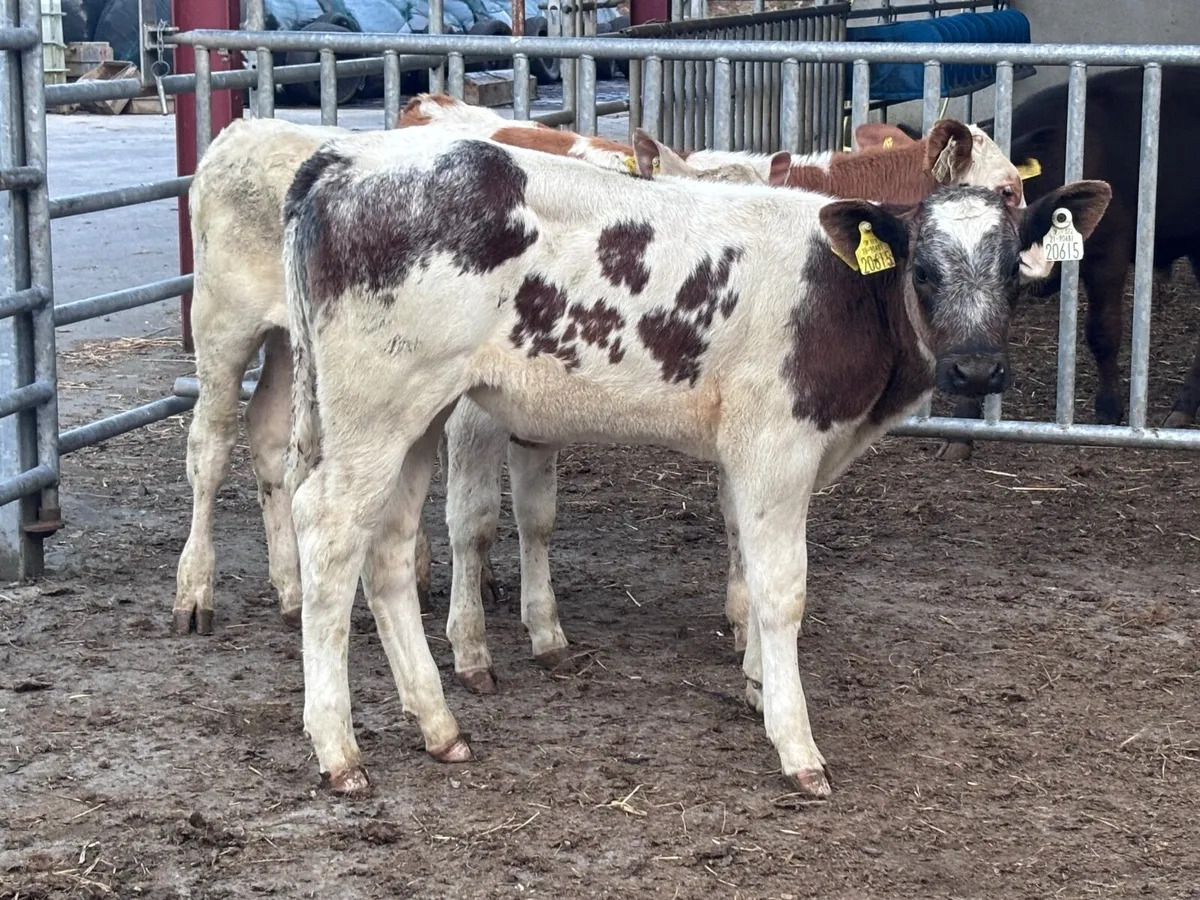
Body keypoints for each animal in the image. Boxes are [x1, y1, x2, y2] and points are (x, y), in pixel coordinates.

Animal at [279, 124, 1111, 797]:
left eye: (1009, 268)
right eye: (924, 271)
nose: (978, 369)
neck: (838, 291)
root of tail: (344, 158)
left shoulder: (750, 456)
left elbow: (745, 560)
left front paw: (756, 684)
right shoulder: (777, 446)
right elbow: (782, 590)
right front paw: (796, 742)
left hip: (418, 417)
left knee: (388, 549)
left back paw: (439, 725)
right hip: (378, 410)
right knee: (328, 531)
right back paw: (338, 749)